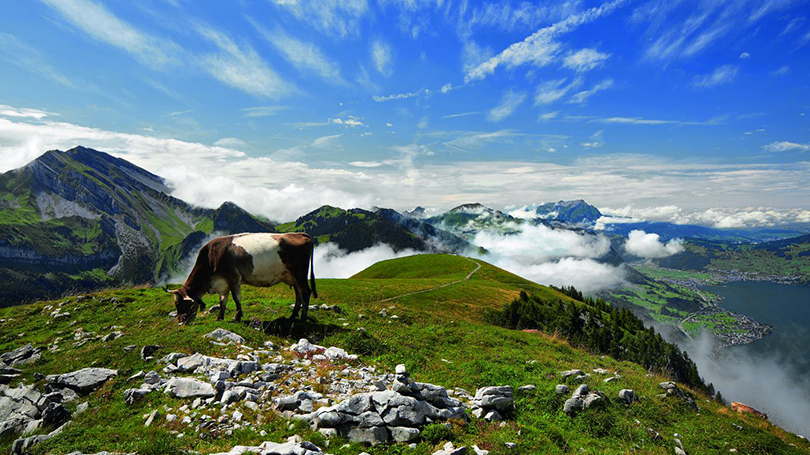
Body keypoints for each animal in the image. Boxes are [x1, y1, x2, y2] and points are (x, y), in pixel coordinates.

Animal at [164, 235, 316, 324]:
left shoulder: (233, 278)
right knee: (298, 294)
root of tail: (300, 234)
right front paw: (220, 317)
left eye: (178, 303)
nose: (181, 321)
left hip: (299, 274)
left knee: (305, 293)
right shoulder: (223, 283)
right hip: (292, 276)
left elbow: (236, 299)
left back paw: (302, 319)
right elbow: (223, 301)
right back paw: (293, 316)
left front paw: (237, 317)